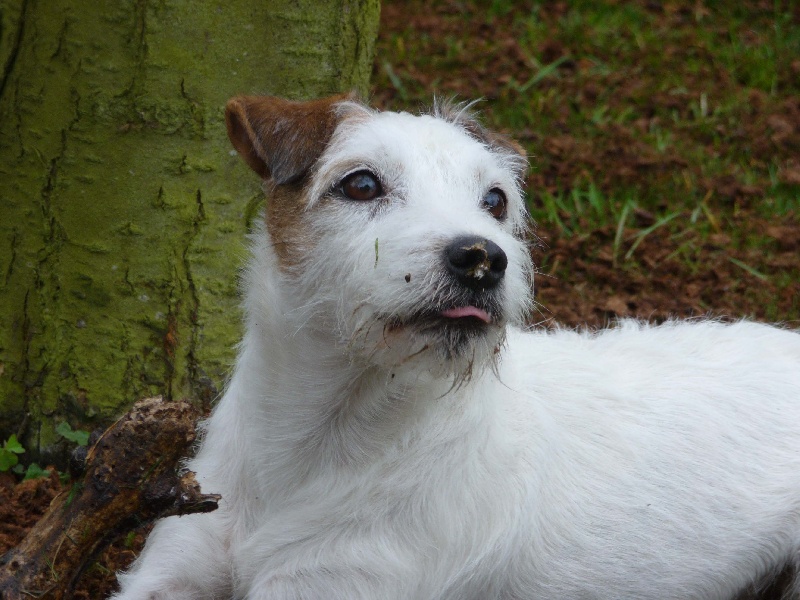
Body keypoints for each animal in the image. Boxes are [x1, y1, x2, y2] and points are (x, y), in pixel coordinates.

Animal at [111, 94, 800, 600]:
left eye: (494, 200)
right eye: (361, 184)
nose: (482, 259)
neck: (315, 440)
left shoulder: (336, 582)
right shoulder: (173, 565)